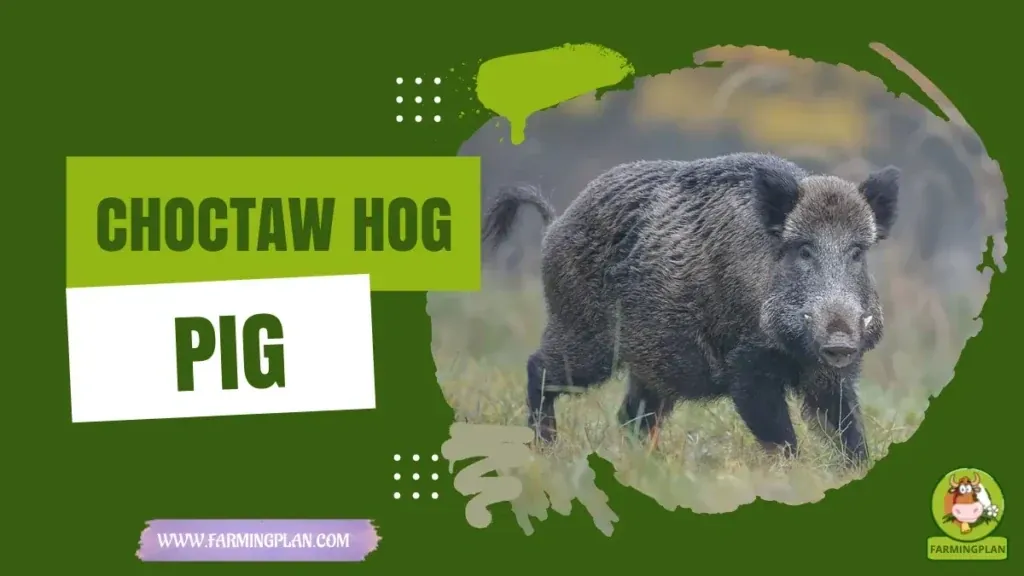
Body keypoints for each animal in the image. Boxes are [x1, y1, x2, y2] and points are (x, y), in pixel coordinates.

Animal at [481, 153, 900, 466]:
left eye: (857, 252)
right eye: (804, 249)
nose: (840, 341)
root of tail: (554, 226)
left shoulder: (832, 376)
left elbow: (848, 429)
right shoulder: (745, 368)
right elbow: (781, 438)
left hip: (651, 364)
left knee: (632, 416)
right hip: (584, 338)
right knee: (539, 368)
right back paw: (545, 447)